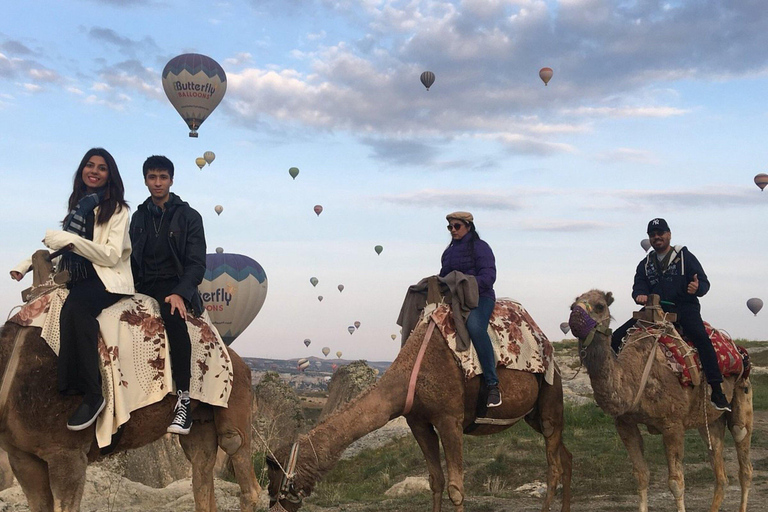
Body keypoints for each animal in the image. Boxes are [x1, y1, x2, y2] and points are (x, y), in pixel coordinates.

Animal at [0, 322, 260, 510]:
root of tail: (240, 360)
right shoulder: (22, 457)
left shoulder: (67, 453)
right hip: (199, 420)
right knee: (201, 464)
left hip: (233, 396)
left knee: (236, 448)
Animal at [268, 310, 572, 510]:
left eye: (274, 468)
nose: (272, 500)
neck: (408, 376)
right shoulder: (418, 422)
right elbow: (435, 481)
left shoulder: (450, 420)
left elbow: (456, 489)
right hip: (533, 415)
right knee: (565, 457)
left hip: (550, 397)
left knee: (554, 465)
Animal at [568, 290, 752, 512]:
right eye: (572, 306)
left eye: (600, 306)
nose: (575, 319)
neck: (636, 376)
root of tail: (739, 350)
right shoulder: (624, 423)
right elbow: (641, 475)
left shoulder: (673, 424)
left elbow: (676, 482)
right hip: (710, 421)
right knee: (720, 472)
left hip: (742, 394)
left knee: (744, 462)